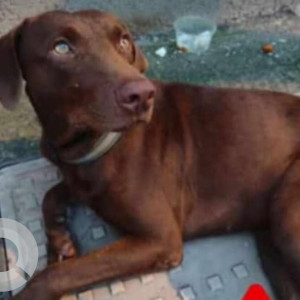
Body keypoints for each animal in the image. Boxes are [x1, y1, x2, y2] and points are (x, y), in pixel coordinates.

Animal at [0, 8, 300, 300]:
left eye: (123, 41)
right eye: (61, 47)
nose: (142, 95)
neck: (90, 143)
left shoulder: (160, 239)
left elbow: (56, 274)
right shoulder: (79, 179)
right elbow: (50, 194)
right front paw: (60, 239)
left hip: (286, 213)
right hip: (270, 240)